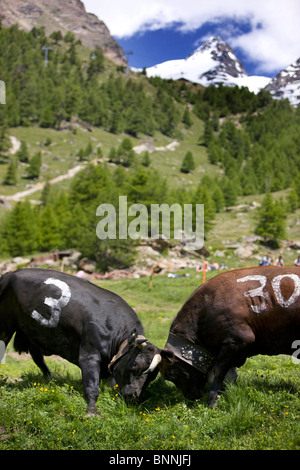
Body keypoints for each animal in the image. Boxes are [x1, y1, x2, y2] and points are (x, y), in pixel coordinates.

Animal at [0, 268, 161, 414]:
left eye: (152, 377)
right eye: (134, 365)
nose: (133, 396)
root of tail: (10, 273)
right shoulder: (89, 354)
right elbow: (92, 385)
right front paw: (91, 410)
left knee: (37, 356)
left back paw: (49, 378)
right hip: (6, 325)